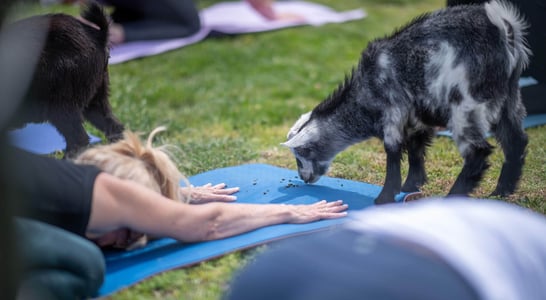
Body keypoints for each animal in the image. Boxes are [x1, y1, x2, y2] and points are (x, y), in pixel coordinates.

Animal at [280, 0, 528, 204]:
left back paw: (454, 197)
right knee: (516, 141)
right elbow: (416, 150)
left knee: (478, 152)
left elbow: (393, 153)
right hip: (509, 99)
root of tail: (503, 29)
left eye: (301, 155)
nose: (304, 178)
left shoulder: (393, 113)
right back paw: (501, 191)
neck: (364, 93)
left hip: (465, 104)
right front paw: (411, 185)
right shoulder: (416, 120)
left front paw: (385, 197)